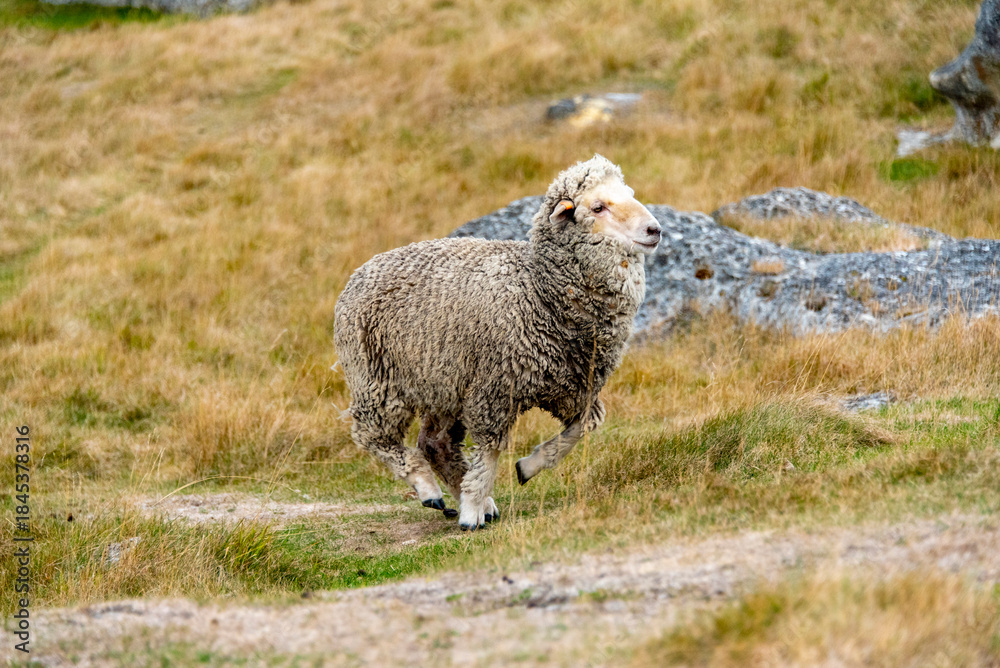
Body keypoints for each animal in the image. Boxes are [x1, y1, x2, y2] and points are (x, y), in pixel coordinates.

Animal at [333, 155, 661, 530]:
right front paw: (472, 511)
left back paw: (466, 496)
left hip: (444, 382)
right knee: (374, 436)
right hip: (376, 378)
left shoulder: (574, 386)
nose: (654, 230)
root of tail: (361, 270)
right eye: (598, 207)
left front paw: (527, 467)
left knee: (435, 444)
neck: (541, 289)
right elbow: (490, 450)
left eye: (629, 195)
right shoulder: (495, 388)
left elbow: (583, 427)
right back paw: (429, 487)